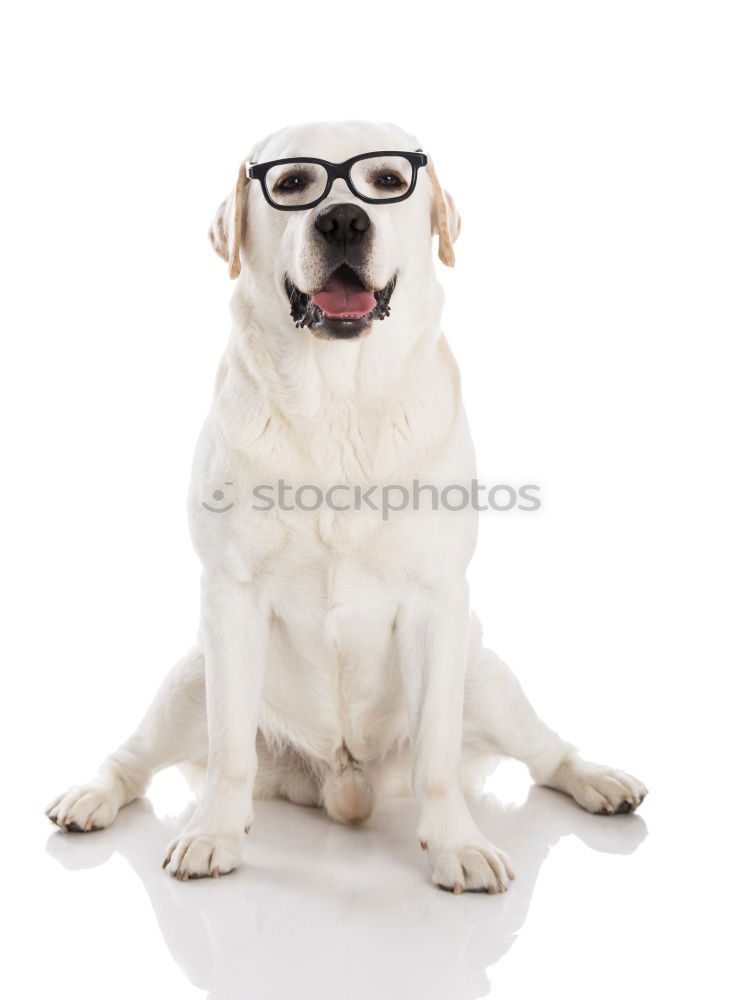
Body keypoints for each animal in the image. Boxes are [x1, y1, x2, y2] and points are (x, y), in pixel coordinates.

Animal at [48, 121, 644, 896]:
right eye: (292, 184)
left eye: (387, 181)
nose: (341, 221)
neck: (336, 398)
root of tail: (341, 780)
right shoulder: (230, 598)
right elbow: (229, 746)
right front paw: (213, 833)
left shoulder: (437, 601)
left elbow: (437, 761)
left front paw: (456, 845)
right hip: (188, 678)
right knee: (134, 758)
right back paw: (91, 796)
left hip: (484, 676)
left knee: (546, 754)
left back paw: (599, 780)